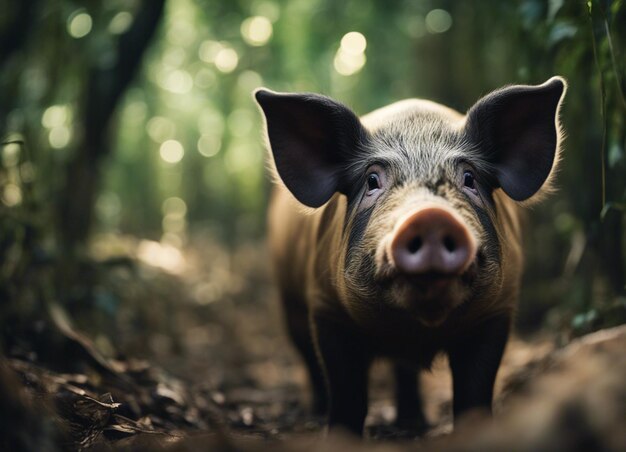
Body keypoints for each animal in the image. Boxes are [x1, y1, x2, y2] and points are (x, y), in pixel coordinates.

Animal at [254, 77, 564, 434]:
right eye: (372, 179)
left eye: (469, 178)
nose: (430, 215)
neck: (417, 327)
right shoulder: (326, 308)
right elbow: (347, 394)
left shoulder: (497, 311)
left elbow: (474, 392)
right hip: (288, 299)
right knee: (306, 352)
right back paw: (319, 412)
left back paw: (413, 423)